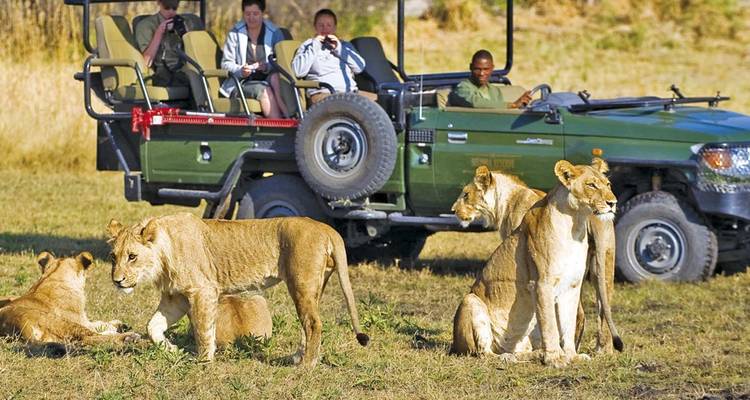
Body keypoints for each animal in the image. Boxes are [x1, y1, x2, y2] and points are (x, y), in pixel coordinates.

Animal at [0, 252, 139, 356]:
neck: (52, 276)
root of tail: (17, 327)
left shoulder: (83, 320)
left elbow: (100, 323)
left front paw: (120, 324)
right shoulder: (81, 320)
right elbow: (96, 326)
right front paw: (118, 327)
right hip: (61, 322)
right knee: (88, 338)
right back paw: (128, 337)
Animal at [107, 213, 368, 366]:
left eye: (132, 257)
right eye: (113, 257)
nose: (117, 280)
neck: (163, 254)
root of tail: (325, 227)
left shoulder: (202, 291)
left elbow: (203, 329)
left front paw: (203, 361)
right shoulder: (176, 297)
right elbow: (152, 326)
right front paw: (171, 350)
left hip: (301, 284)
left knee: (314, 323)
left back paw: (306, 366)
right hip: (314, 287)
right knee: (308, 323)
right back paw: (297, 358)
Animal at [450, 158, 620, 367]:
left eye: (608, 184)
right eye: (591, 185)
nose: (612, 203)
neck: (577, 224)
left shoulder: (572, 286)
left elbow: (567, 325)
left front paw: (571, 355)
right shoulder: (541, 284)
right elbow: (550, 325)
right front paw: (555, 358)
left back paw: (533, 354)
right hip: (470, 300)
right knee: (484, 353)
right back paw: (510, 357)